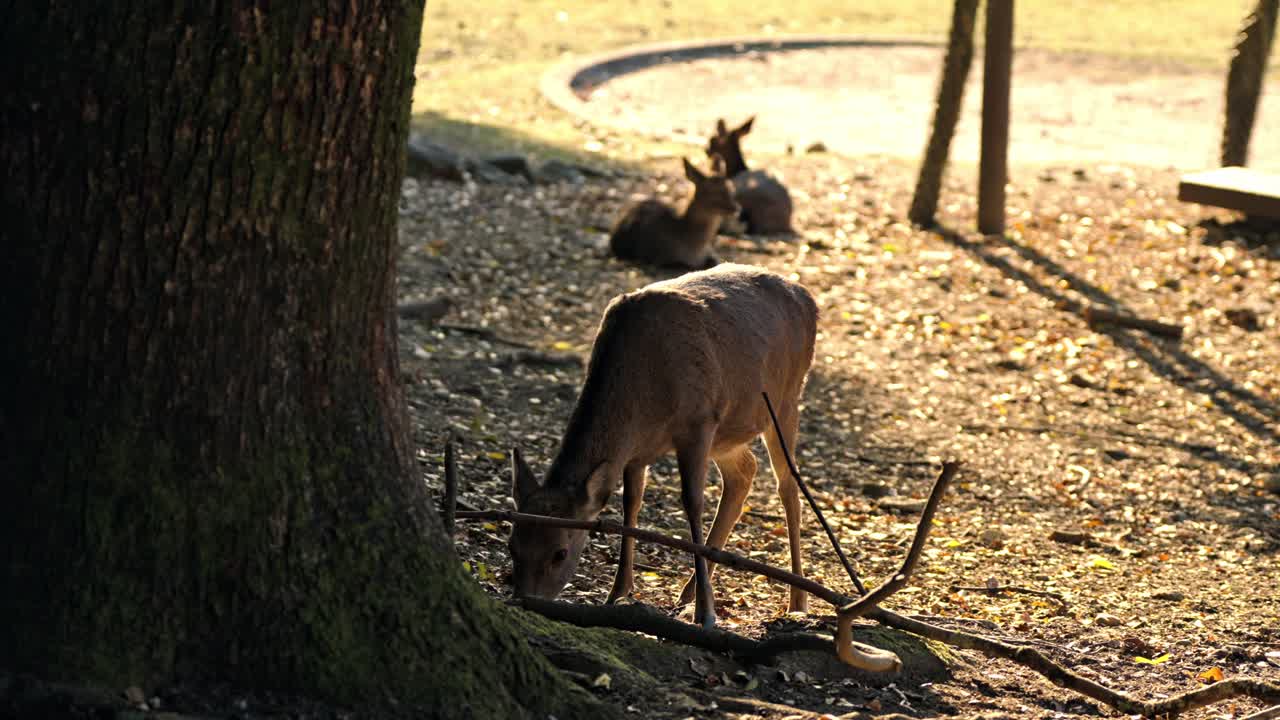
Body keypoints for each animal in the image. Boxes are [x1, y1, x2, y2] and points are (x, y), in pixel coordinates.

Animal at [507, 262, 817, 629]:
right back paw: (689, 592)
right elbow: (630, 505)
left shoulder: (699, 421)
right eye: (512, 545)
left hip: (786, 400)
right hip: (730, 432)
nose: (525, 601)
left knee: (789, 485)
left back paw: (797, 601)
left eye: (560, 553)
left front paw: (707, 613)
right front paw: (617, 594)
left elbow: (692, 503)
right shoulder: (637, 450)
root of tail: (807, 297)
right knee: (744, 472)